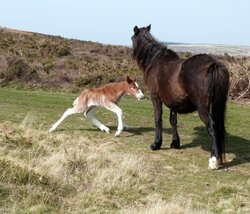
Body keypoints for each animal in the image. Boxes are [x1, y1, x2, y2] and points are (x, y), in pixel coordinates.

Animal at [132, 25, 229, 169]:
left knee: (212, 126)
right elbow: (173, 120)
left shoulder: (155, 97)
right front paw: (175, 143)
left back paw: (214, 161)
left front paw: (156, 144)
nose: (132, 54)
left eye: (132, 38)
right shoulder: (174, 101)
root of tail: (213, 64)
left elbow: (158, 119)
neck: (156, 61)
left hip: (202, 108)